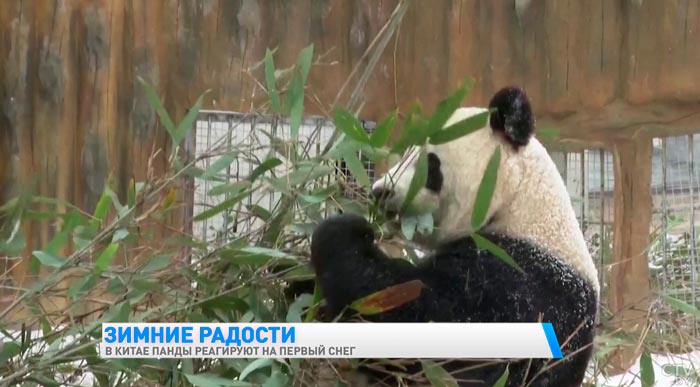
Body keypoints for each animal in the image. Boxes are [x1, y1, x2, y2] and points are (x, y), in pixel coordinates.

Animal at [308, 87, 600, 387]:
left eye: (429, 165)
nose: (380, 192)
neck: (520, 203)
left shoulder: (523, 283)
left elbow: (429, 322)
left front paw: (343, 232)